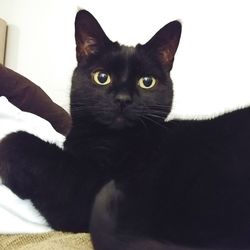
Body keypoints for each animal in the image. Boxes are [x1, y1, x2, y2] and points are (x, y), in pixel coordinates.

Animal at [0, 9, 250, 250]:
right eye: (102, 77)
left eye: (146, 81)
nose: (122, 99)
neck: (107, 137)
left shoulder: (85, 192)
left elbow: (29, 147)